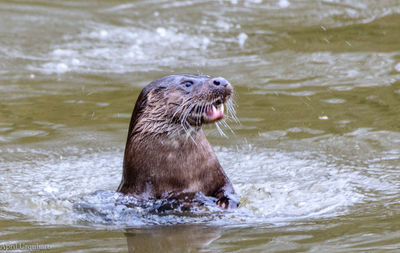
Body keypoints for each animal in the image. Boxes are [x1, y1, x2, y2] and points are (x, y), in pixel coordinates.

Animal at [117, 74, 239, 209]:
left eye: (207, 75)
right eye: (187, 84)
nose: (221, 81)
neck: (188, 171)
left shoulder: (218, 174)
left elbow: (228, 189)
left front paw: (226, 202)